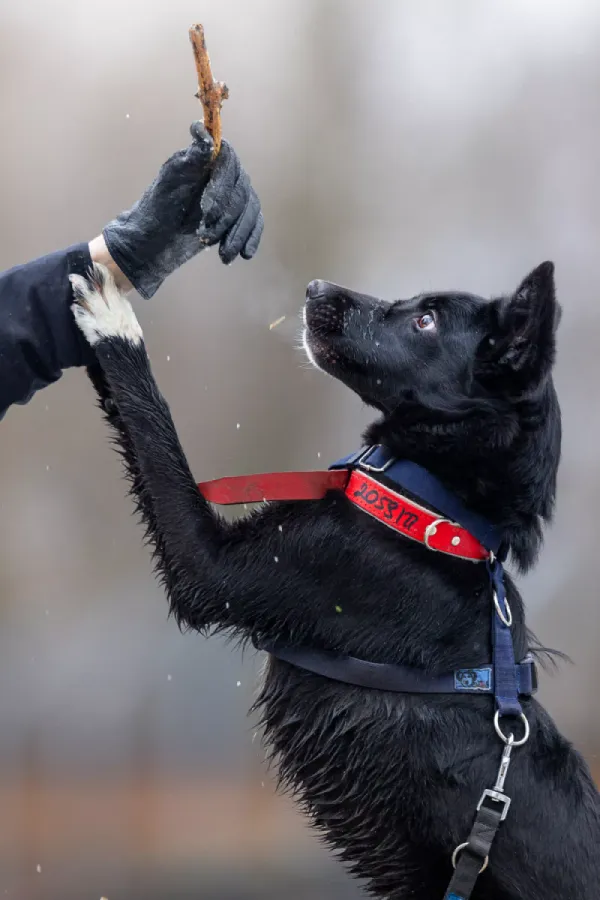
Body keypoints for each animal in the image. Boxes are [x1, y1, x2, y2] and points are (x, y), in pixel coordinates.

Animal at [71, 262, 600, 900]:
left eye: (426, 321)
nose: (315, 289)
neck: (437, 518)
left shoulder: (213, 567)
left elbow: (152, 422)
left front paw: (112, 319)